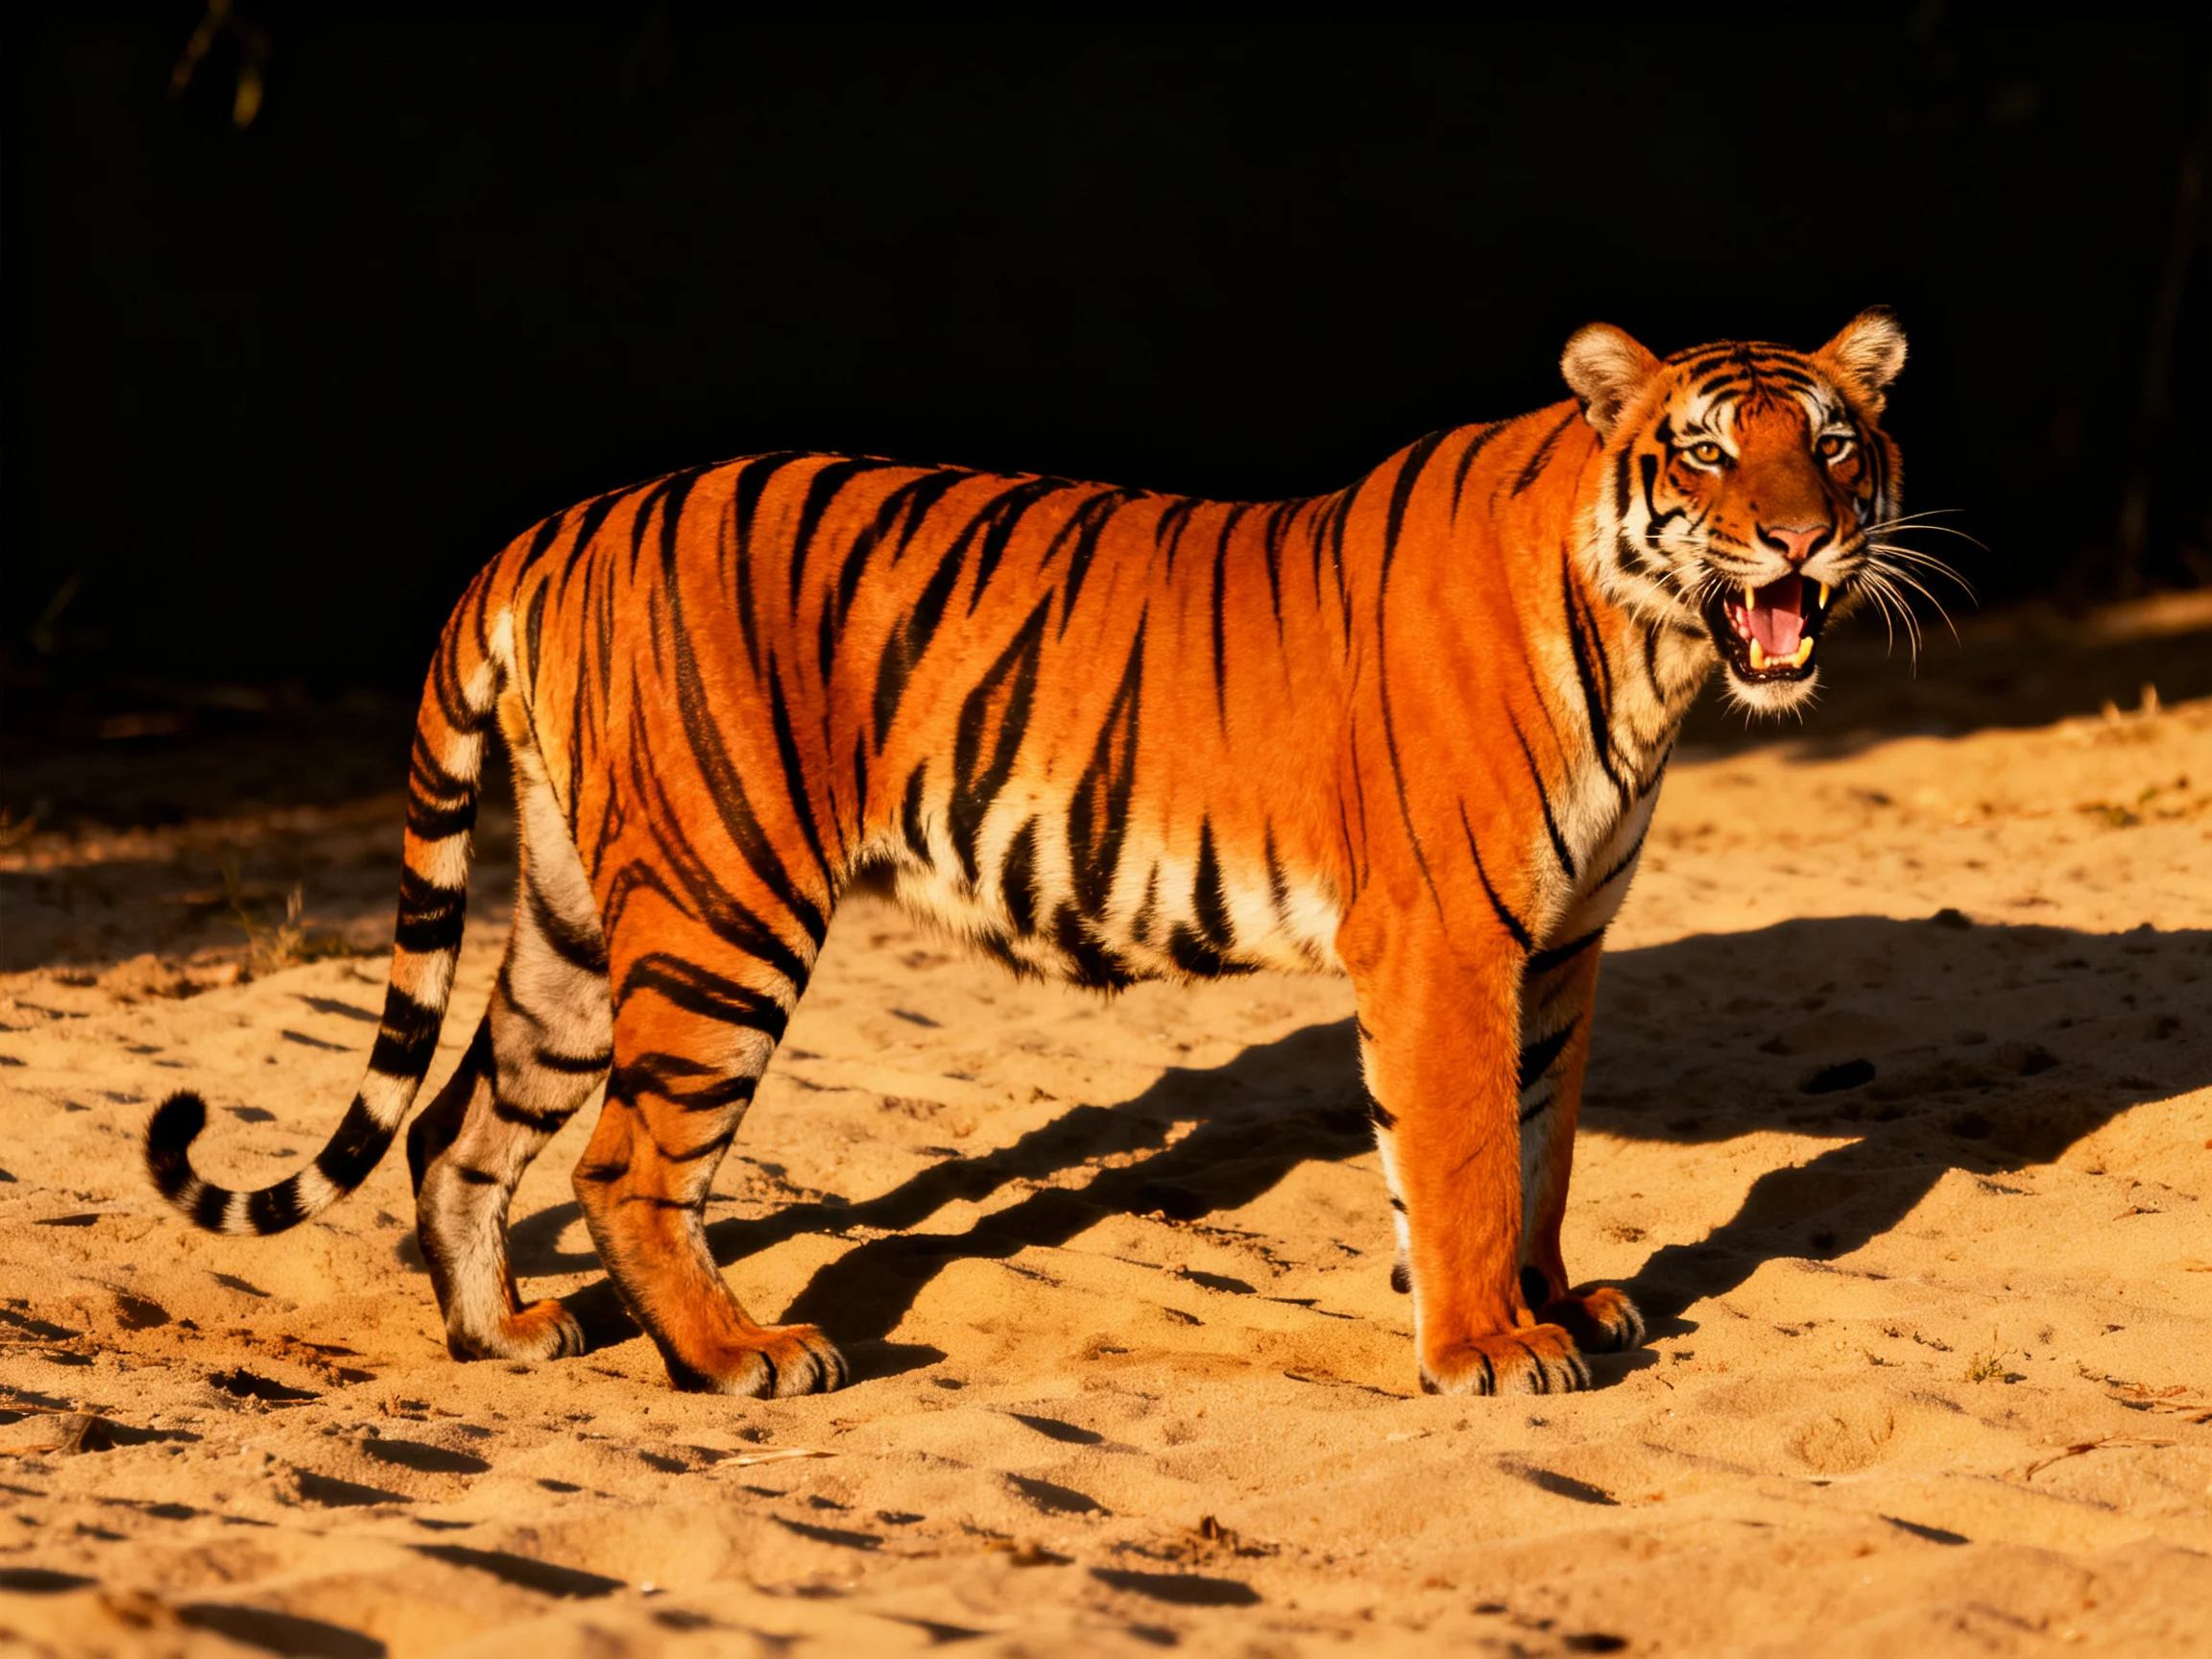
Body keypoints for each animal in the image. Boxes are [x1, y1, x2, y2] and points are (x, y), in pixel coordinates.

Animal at [146, 311, 1907, 1398]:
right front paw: (1489, 1347)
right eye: (1704, 453)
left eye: (1831, 444)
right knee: (620, 1160)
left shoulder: (1560, 948)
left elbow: (1540, 1148)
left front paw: (1558, 1305)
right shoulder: (1451, 944)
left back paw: (504, 1337)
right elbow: (1466, 1158)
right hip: (722, 907)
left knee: (459, 1128)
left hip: (582, 920)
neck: (1651, 654)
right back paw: (738, 1359)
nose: (1802, 540)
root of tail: (551, 525)